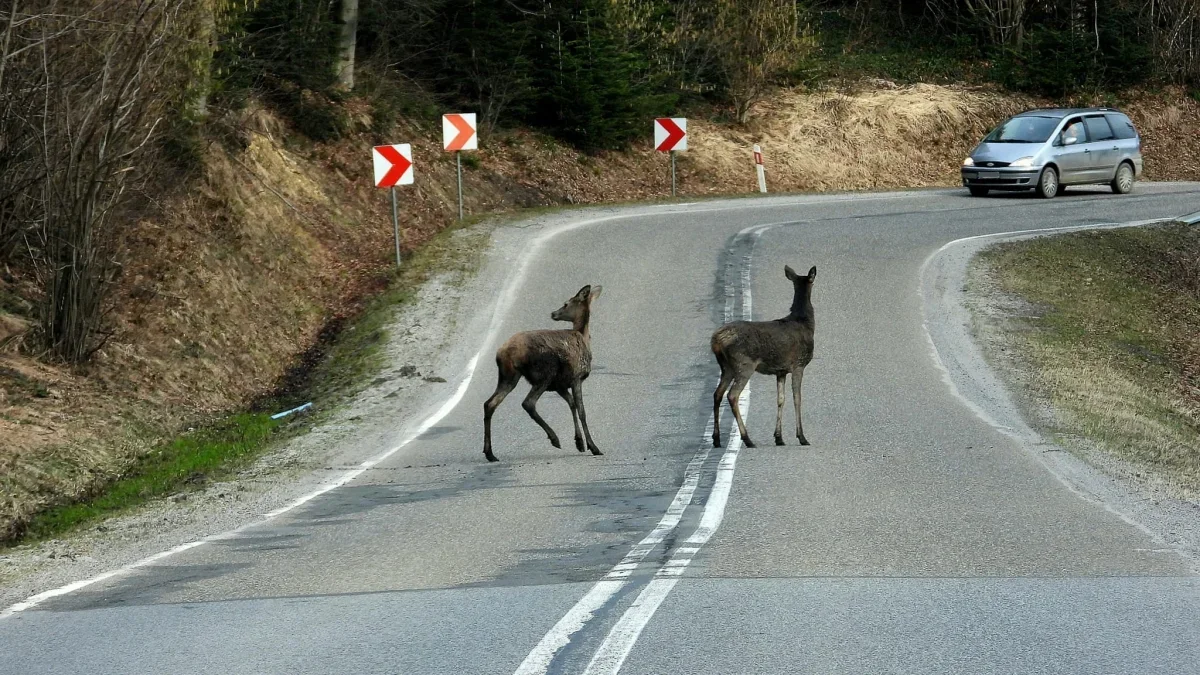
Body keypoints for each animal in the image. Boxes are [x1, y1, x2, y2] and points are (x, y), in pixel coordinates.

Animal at [482, 283, 604, 461]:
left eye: (566, 304)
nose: (553, 313)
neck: (583, 336)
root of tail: (504, 352)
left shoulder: (560, 385)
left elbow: (572, 404)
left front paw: (579, 443)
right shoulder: (576, 377)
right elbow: (582, 411)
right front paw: (593, 447)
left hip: (509, 376)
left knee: (490, 403)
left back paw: (490, 453)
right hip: (543, 373)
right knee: (528, 403)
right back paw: (554, 438)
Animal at [710, 263, 816, 446]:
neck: (805, 322)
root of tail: (716, 340)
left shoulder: (781, 371)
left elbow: (780, 399)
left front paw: (779, 437)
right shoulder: (798, 364)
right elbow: (797, 398)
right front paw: (802, 437)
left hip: (726, 367)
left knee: (717, 394)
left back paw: (716, 439)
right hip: (744, 364)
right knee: (732, 395)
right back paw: (747, 438)